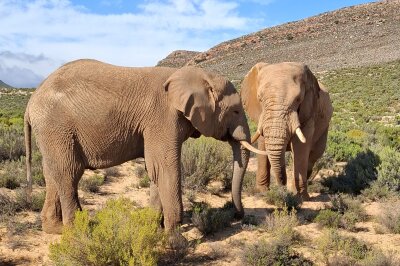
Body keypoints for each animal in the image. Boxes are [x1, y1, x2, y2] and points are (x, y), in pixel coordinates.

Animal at [24, 59, 266, 234]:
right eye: (235, 110)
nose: (237, 216)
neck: (193, 75)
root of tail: (30, 103)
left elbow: (155, 170)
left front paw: (154, 226)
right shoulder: (162, 118)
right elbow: (166, 167)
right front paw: (174, 235)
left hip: (51, 132)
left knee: (53, 174)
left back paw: (55, 230)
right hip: (56, 127)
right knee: (69, 173)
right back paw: (79, 233)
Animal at [242, 61, 332, 200]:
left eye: (298, 99)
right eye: (260, 98)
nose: (282, 186)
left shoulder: (309, 111)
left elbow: (301, 146)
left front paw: (300, 198)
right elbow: (262, 141)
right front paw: (262, 192)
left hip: (324, 128)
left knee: (312, 156)